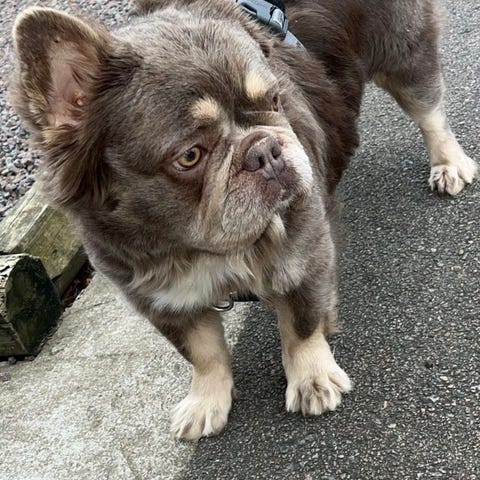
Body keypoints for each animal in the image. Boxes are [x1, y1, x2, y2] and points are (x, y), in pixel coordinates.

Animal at [11, 0, 477, 440]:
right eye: (189, 156)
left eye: (275, 102)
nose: (266, 149)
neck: (198, 246)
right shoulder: (162, 301)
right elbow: (202, 353)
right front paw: (206, 400)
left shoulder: (305, 255)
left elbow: (302, 325)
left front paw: (312, 378)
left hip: (403, 51)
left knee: (429, 108)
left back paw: (448, 163)